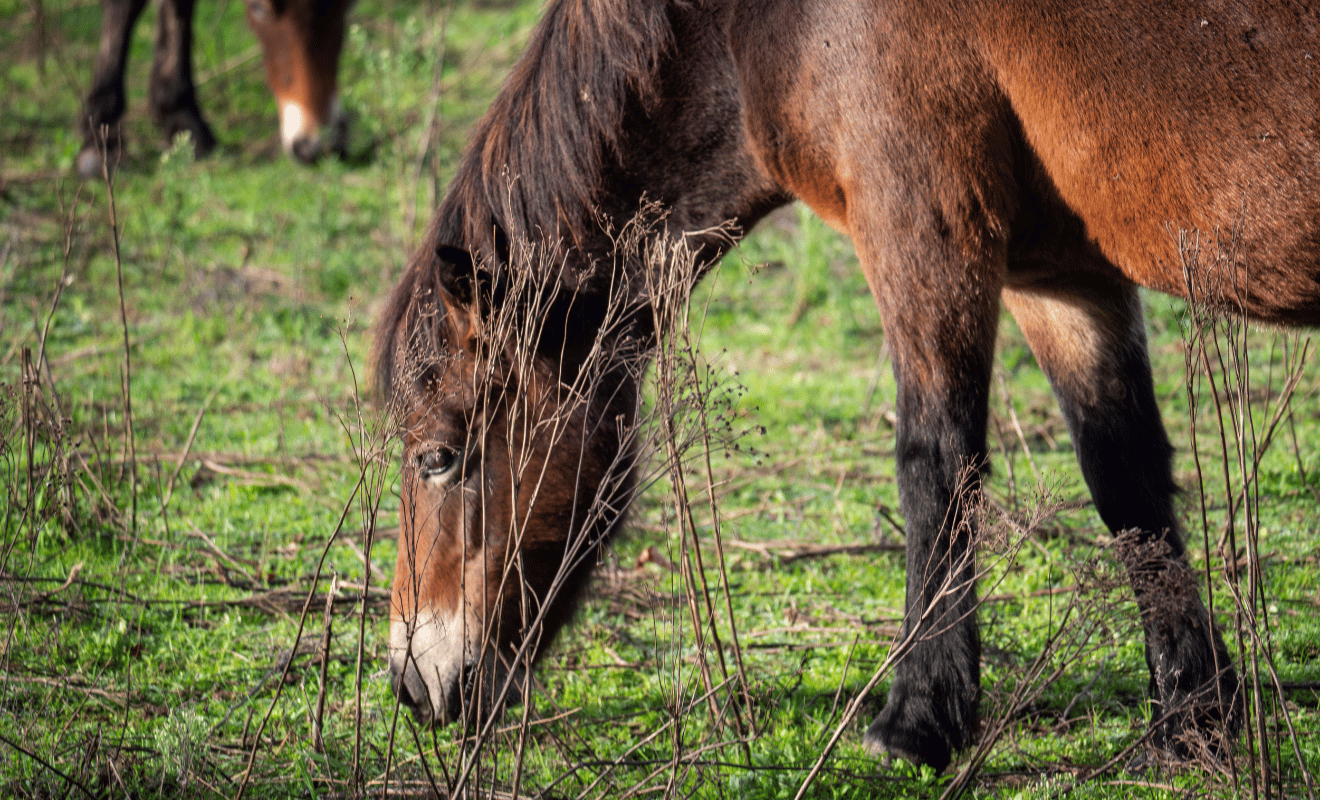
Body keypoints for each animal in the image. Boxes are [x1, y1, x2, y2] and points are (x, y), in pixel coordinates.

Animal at [375, 0, 1320, 771]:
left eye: (437, 456)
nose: (412, 683)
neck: (750, 23)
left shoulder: (923, 226)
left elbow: (934, 464)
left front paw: (919, 723)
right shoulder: (1061, 275)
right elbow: (1125, 481)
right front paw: (1191, 720)